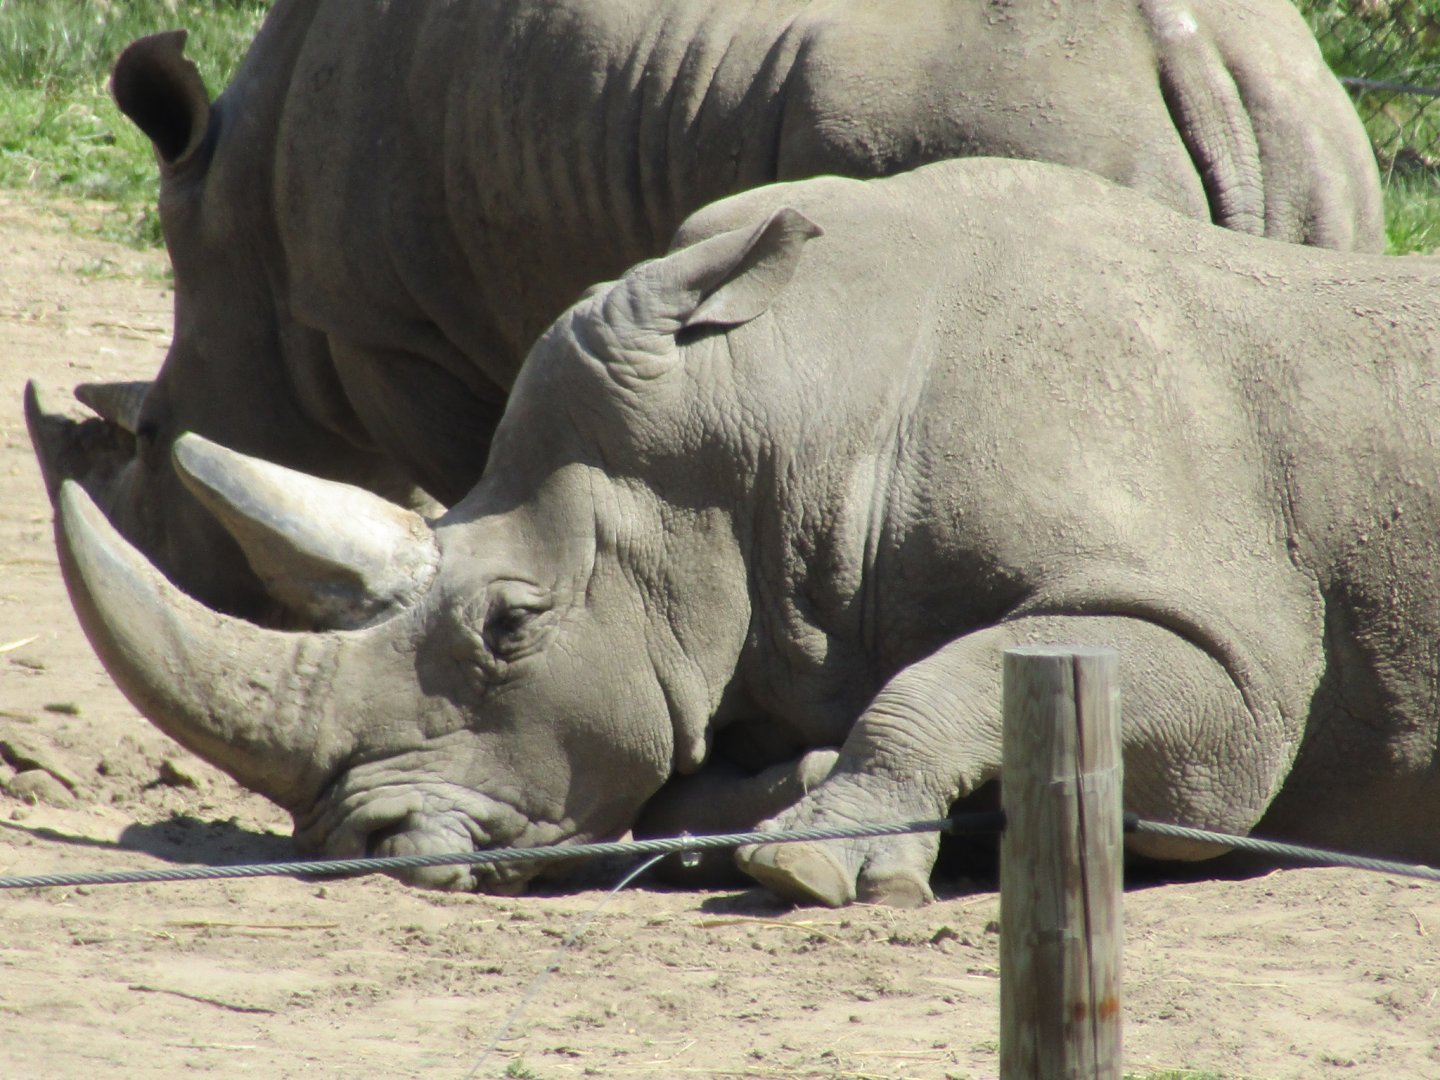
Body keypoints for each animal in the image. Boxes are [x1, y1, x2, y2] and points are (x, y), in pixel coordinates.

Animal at [28, 0, 1382, 624]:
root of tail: (1189, 55)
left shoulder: (393, 332)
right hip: (1315, 130)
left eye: (149, 439)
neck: (243, 224)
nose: (183, 578)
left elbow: (472, 486)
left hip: (1018, 115)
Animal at [49, 156, 1440, 907]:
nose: (360, 847)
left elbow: (952, 682)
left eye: (511, 625)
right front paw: (771, 806)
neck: (790, 413)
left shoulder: (1222, 657)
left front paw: (809, 868)